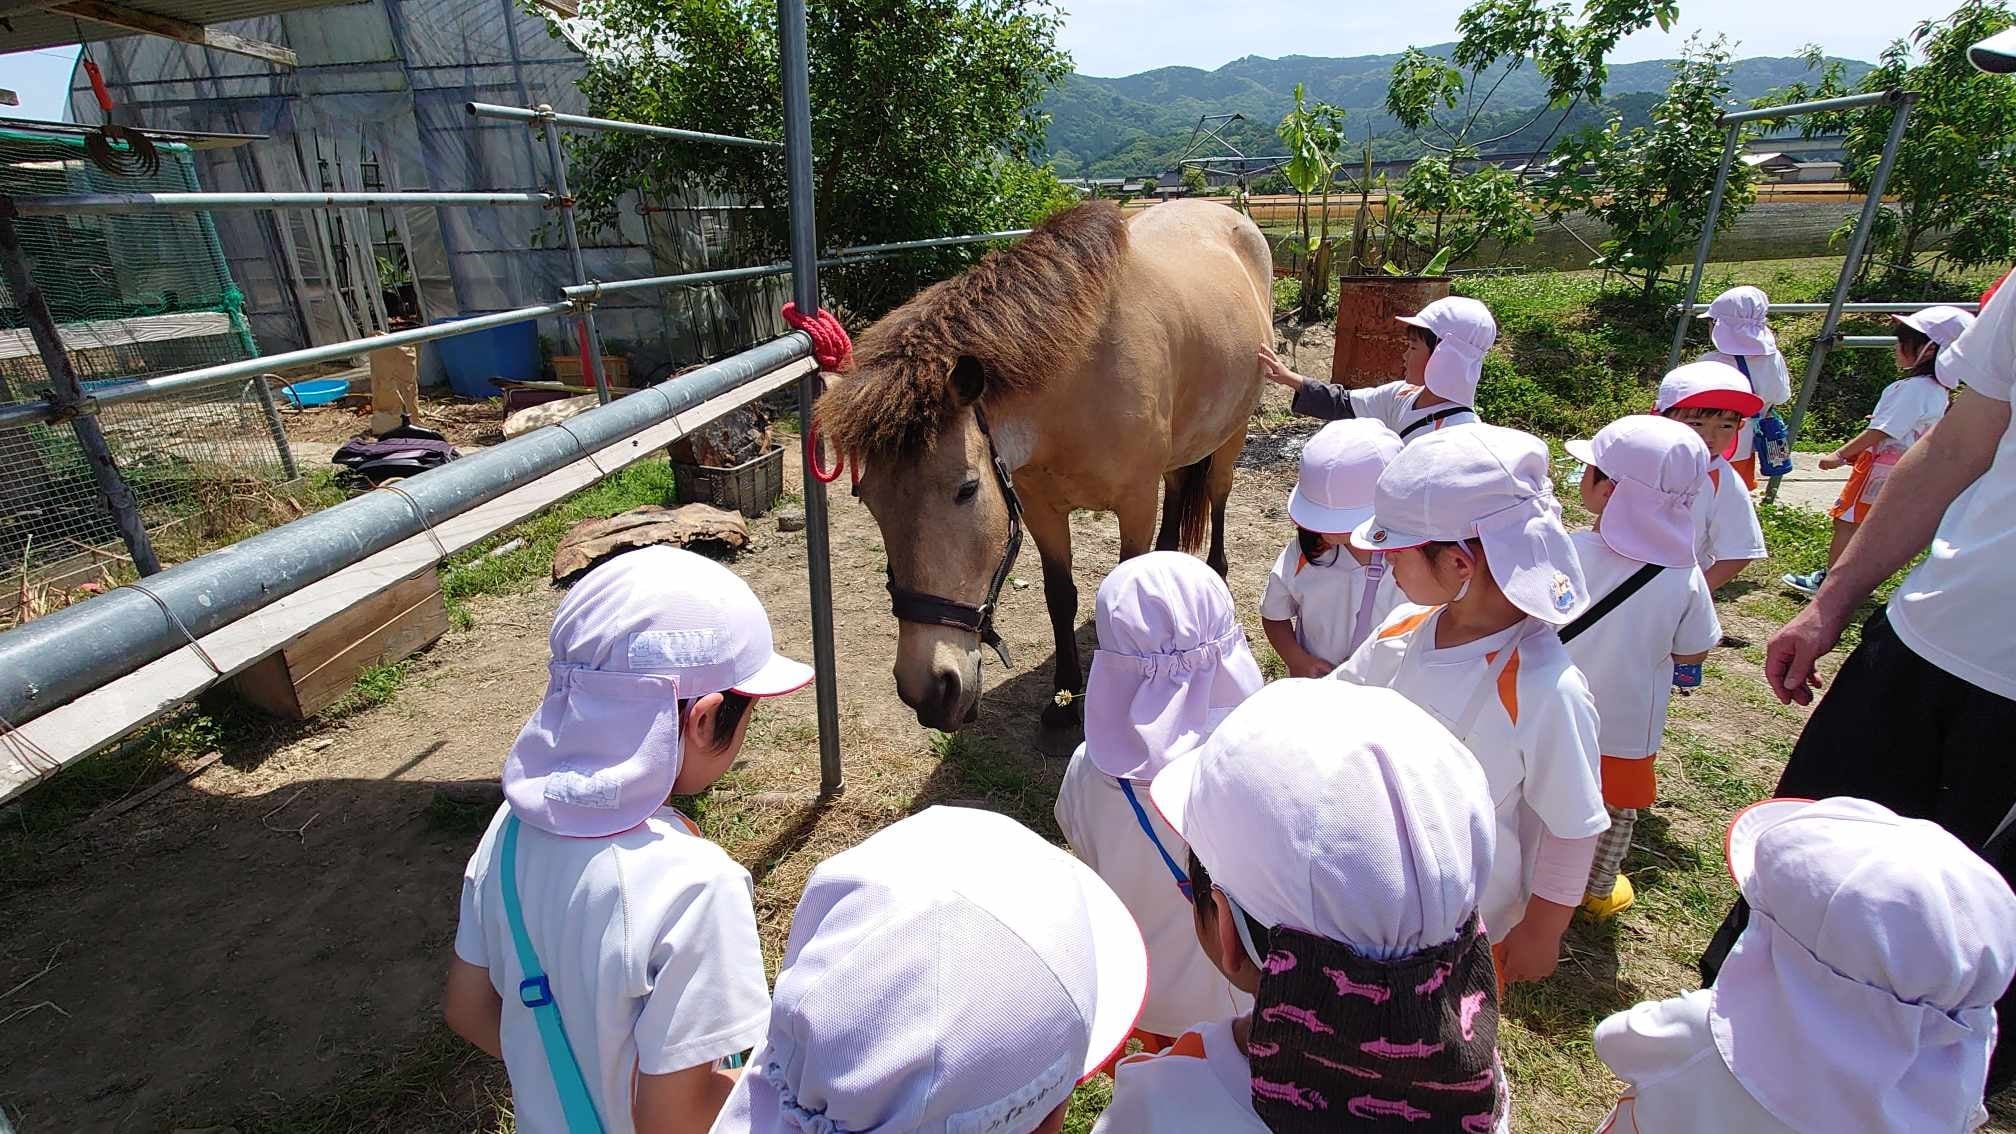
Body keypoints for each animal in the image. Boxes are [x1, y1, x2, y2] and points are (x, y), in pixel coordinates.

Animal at [816, 198, 1272, 745]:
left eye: (967, 489)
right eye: (869, 500)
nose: (927, 689)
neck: (1079, 376)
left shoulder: (1135, 503)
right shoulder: (1039, 507)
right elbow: (1061, 597)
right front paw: (1062, 702)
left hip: (1232, 434)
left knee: (1219, 496)